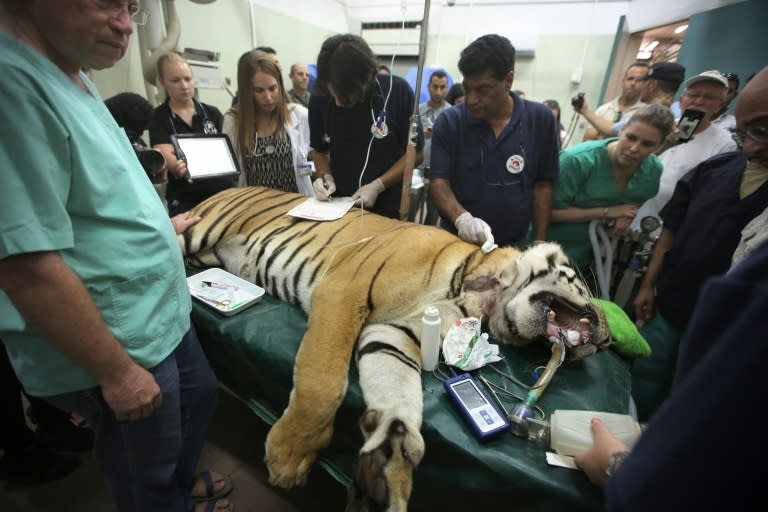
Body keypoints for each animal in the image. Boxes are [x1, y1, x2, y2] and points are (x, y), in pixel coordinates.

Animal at [182, 186, 612, 512]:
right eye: (586, 287)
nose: (607, 341)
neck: (479, 288)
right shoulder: (344, 290)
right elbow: (323, 380)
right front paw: (289, 453)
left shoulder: (396, 333)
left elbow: (400, 394)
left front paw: (391, 463)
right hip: (197, 230)